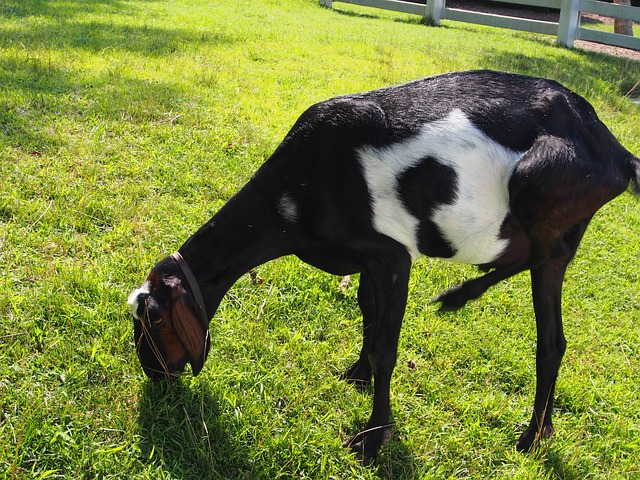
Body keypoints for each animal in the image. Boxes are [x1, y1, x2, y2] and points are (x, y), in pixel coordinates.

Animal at [127, 69, 636, 464]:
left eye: (155, 318)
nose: (154, 373)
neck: (291, 195)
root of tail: (615, 152)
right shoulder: (367, 263)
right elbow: (366, 312)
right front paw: (357, 374)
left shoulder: (391, 256)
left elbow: (386, 350)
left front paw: (372, 439)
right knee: (549, 328)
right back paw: (534, 422)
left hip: (540, 189)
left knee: (541, 283)